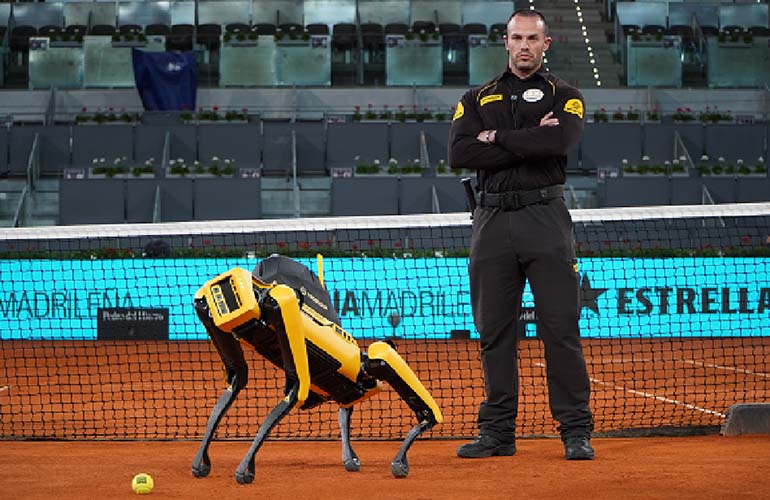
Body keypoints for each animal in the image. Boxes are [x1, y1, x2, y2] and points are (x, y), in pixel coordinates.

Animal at [190, 254, 440, 480]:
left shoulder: (281, 307)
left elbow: (292, 391)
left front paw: (245, 469)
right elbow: (237, 381)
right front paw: (202, 463)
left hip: (368, 366)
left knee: (383, 355)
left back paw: (408, 447)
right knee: (349, 401)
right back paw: (354, 455)